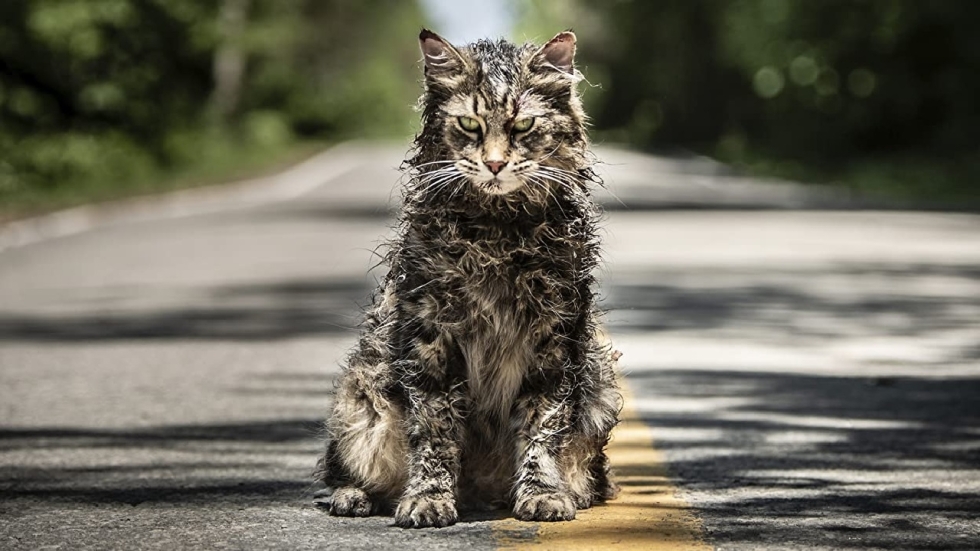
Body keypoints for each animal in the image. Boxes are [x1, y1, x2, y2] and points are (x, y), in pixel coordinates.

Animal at [314, 28, 620, 528]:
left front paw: (542, 493)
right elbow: (435, 432)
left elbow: (541, 427)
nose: (494, 165)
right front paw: (428, 499)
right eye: (470, 125)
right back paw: (354, 496)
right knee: (346, 469)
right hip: (361, 396)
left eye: (522, 126)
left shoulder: (555, 340)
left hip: (600, 388)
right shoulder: (431, 338)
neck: (497, 233)